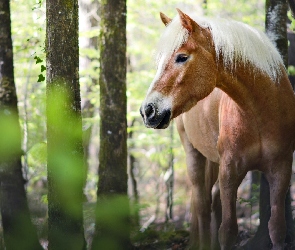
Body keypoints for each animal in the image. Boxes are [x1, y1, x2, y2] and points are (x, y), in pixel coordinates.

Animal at [140, 8, 295, 250]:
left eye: (182, 57)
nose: (148, 110)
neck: (260, 113)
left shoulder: (281, 169)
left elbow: (277, 228)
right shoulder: (229, 171)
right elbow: (228, 231)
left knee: (211, 203)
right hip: (194, 155)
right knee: (202, 204)